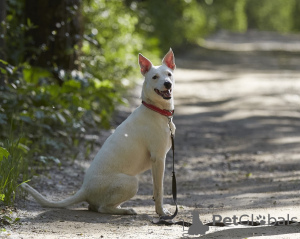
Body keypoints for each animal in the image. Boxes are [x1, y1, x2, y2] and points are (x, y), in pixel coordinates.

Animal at [22, 49, 177, 217]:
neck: (156, 110)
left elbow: (157, 191)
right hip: (131, 182)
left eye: (169, 74)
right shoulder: (158, 159)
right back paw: (126, 210)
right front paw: (161, 212)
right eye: (154, 77)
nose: (167, 84)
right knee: (103, 208)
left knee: (95, 206)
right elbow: (159, 190)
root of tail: (84, 189)